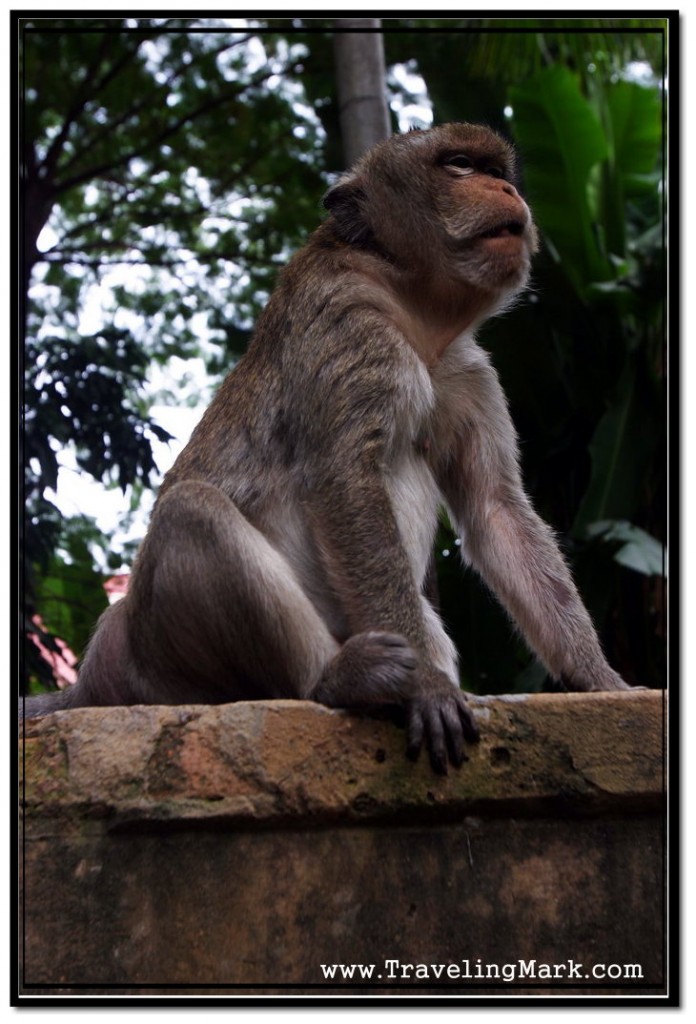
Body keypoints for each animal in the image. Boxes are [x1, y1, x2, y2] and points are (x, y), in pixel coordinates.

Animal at [21, 123, 630, 770]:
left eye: (497, 171)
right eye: (461, 166)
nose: (507, 191)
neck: (414, 305)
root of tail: (100, 669)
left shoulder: (468, 371)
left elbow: (497, 510)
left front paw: (601, 680)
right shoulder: (349, 323)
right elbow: (344, 477)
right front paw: (428, 687)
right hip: (167, 655)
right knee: (194, 512)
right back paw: (339, 678)